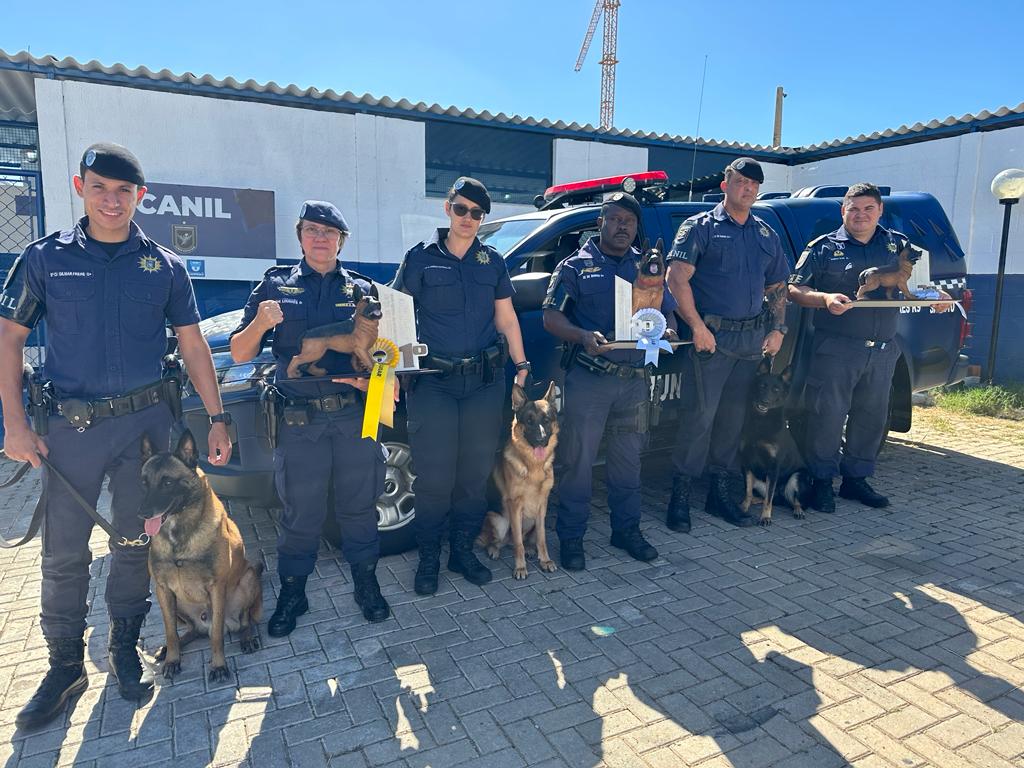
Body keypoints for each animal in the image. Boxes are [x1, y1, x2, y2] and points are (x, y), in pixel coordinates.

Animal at [140, 434, 264, 684]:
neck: (179, 537)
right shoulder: (163, 589)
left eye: (167, 483)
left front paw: (218, 666)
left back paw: (247, 638)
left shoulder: (216, 588)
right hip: (177, 604)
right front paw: (173, 659)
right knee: (191, 631)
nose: (143, 513)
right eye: (144, 483)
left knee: (244, 621)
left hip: (248, 579)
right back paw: (171, 649)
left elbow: (216, 636)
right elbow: (170, 632)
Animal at [477, 382, 561, 581]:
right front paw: (521, 567)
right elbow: (517, 544)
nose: (540, 439)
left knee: (524, 539)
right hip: (500, 521)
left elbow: (542, 538)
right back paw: (494, 550)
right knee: (501, 541)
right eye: (529, 421)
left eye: (546, 420)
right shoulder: (515, 506)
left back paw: (531, 549)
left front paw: (545, 560)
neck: (534, 467)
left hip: (532, 521)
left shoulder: (542, 506)